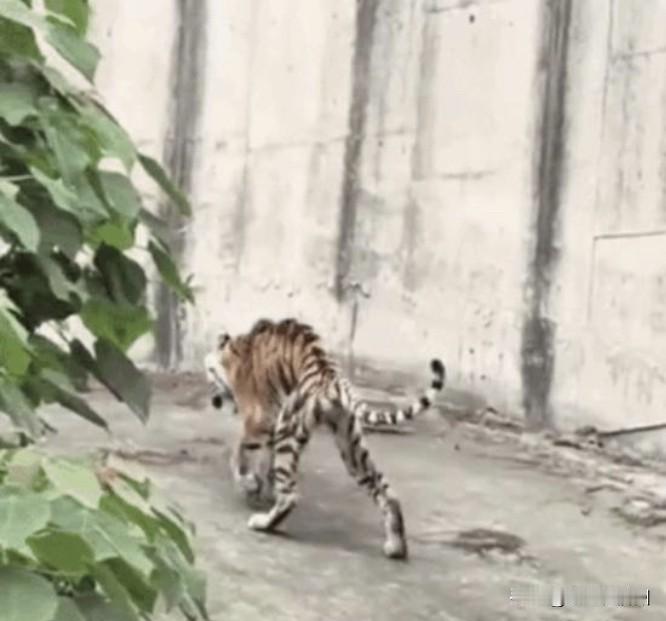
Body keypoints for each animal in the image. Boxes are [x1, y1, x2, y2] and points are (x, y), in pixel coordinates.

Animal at [204, 318, 445, 560]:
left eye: (209, 373)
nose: (213, 399)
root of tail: (330, 375)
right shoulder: (270, 430)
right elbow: (264, 462)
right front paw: (263, 486)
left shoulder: (259, 421)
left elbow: (239, 455)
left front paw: (249, 484)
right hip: (350, 444)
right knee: (387, 493)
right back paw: (396, 547)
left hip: (288, 428)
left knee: (290, 496)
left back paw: (263, 523)